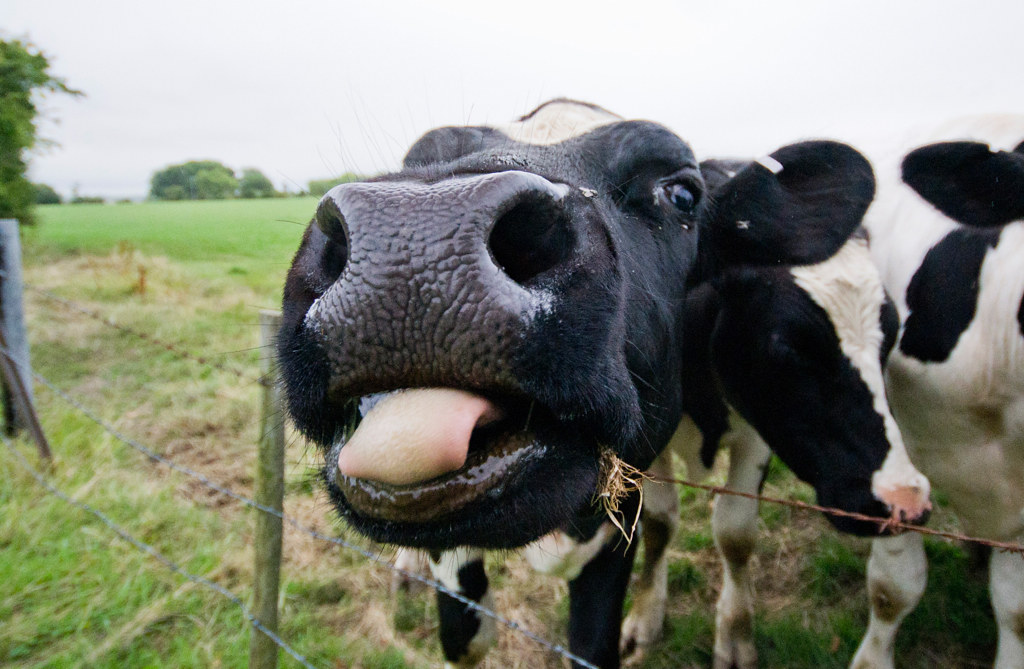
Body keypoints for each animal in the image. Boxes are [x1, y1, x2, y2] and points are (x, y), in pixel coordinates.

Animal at [277, 99, 930, 668]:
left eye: (682, 193)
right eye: (791, 343)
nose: (417, 236)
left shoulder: (699, 457)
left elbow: (721, 539)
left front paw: (725, 637)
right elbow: (466, 640)